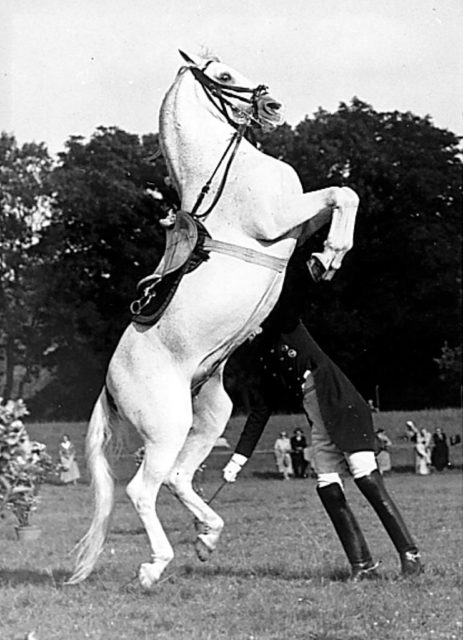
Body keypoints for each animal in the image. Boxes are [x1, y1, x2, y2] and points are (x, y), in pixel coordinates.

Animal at [67, 51, 360, 592]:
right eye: (223, 75)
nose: (273, 106)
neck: (229, 171)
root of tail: (109, 386)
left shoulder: (296, 222)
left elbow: (339, 198)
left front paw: (323, 258)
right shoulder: (278, 220)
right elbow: (342, 193)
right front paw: (331, 256)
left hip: (210, 415)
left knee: (179, 478)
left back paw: (207, 536)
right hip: (167, 427)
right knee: (143, 489)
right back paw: (155, 564)